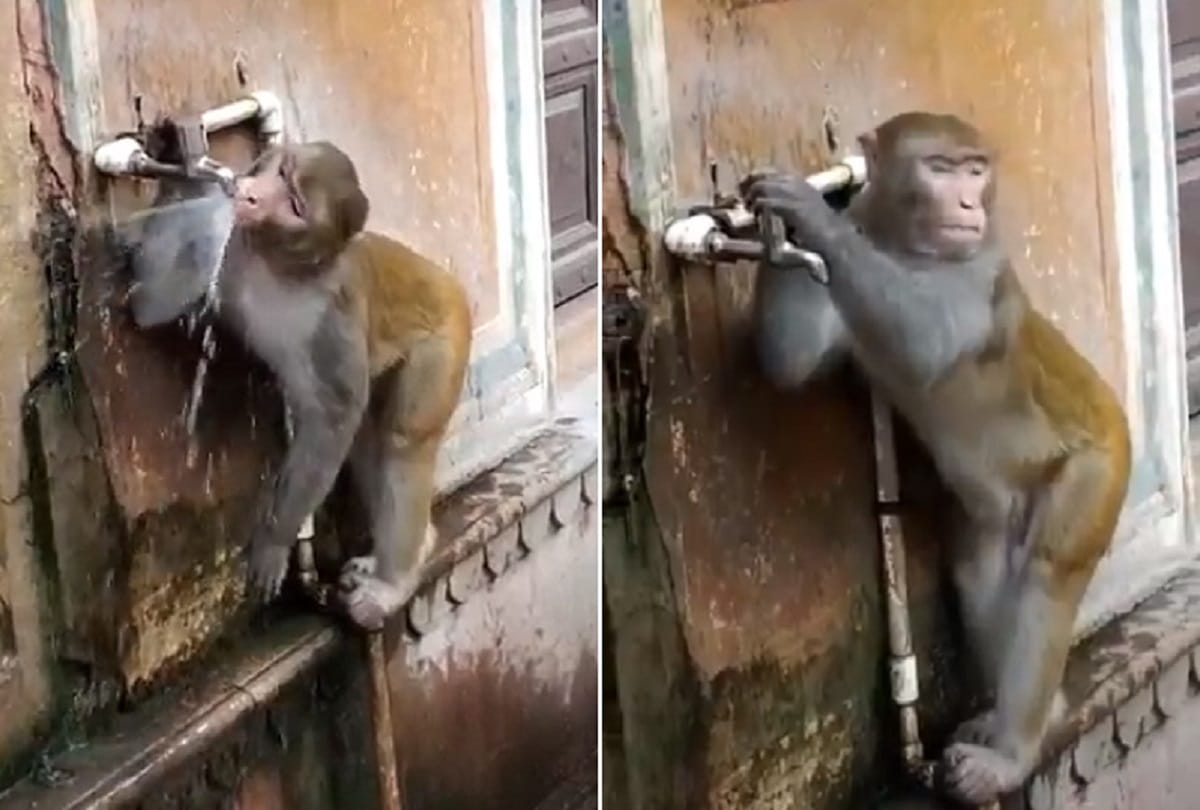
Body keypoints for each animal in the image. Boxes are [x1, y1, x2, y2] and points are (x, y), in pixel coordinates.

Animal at [212, 141, 472, 631]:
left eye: (295, 205)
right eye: (281, 171)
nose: (250, 194)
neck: (282, 270)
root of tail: (454, 287)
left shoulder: (335, 316)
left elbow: (332, 420)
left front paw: (276, 539)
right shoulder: (237, 260)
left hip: (445, 342)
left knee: (401, 441)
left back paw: (394, 581)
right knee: (370, 444)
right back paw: (417, 545)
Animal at [740, 112, 1131, 804]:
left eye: (975, 169)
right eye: (941, 168)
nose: (971, 203)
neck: (903, 246)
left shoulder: (981, 268)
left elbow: (928, 343)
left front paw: (811, 214)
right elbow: (791, 363)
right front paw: (785, 218)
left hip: (1098, 468)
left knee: (1049, 572)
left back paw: (1011, 754)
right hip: (1008, 499)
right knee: (980, 568)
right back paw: (1033, 711)